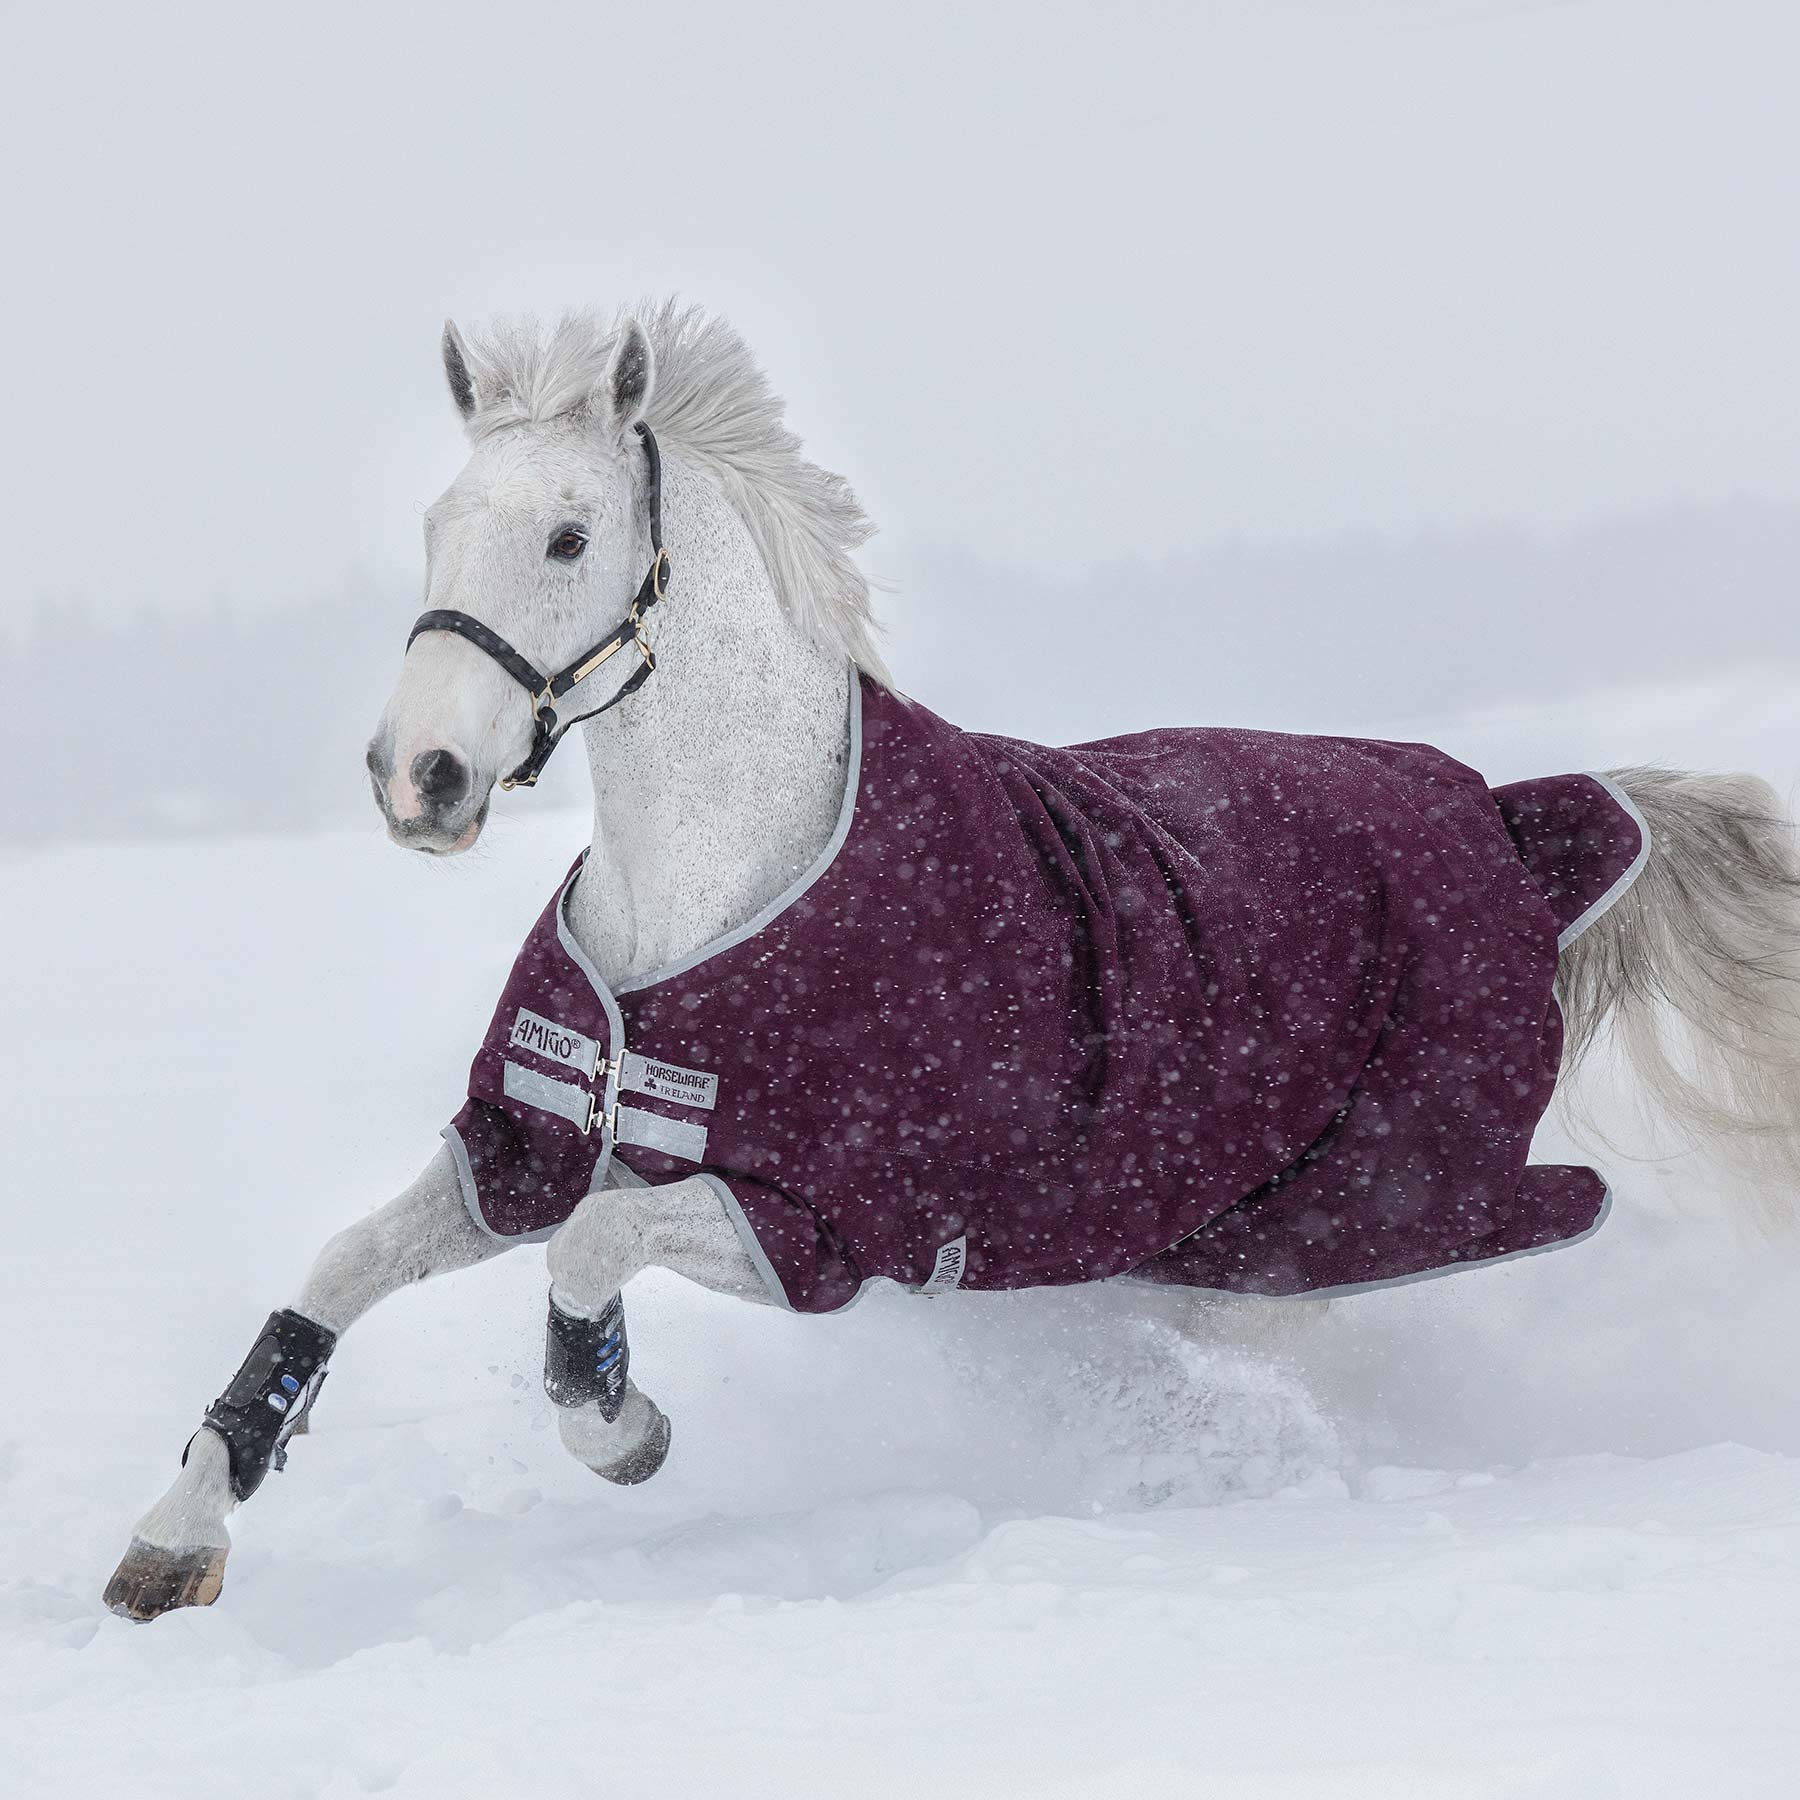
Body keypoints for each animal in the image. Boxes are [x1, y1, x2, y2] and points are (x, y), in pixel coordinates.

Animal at [105, 302, 1800, 1621]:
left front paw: (621, 1427)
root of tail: (1511, 817)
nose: (422, 780)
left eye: (570, 536)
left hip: (1322, 1241)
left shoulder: (827, 1222)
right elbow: (341, 1268)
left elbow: (591, 1253)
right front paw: (176, 1537)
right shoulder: (523, 1142)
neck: (709, 898)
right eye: (438, 529)